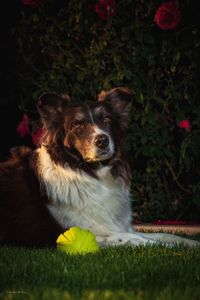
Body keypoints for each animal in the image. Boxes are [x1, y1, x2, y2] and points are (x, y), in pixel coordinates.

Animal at [0, 88, 198, 247]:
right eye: (77, 124)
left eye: (107, 119)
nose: (102, 140)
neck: (89, 173)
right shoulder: (72, 235)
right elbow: (131, 238)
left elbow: (164, 234)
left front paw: (189, 243)